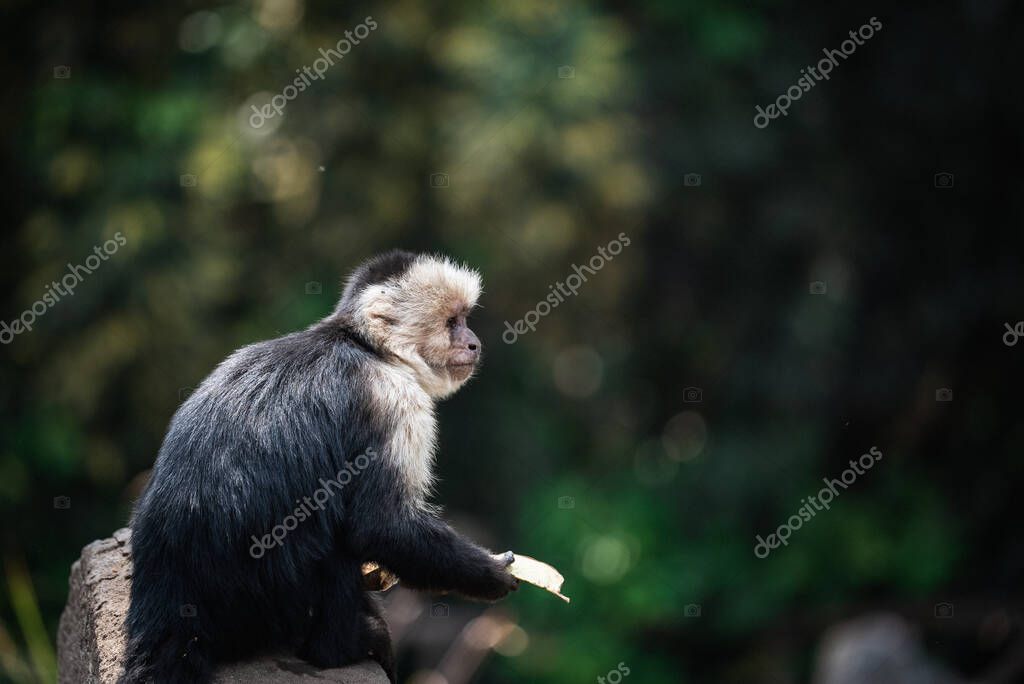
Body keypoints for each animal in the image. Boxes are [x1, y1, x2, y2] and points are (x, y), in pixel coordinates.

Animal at [120, 250, 518, 684]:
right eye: (452, 323)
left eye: (464, 319)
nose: (474, 342)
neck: (368, 348)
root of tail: (167, 595)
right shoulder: (392, 398)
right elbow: (381, 526)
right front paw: (490, 574)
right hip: (265, 605)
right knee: (337, 543)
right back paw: (344, 645)